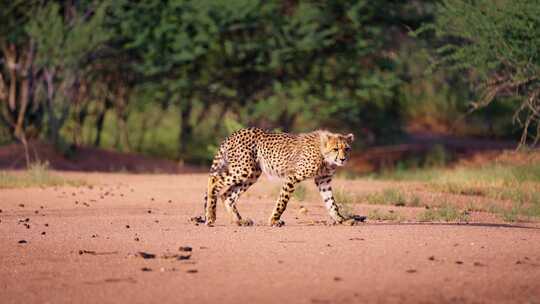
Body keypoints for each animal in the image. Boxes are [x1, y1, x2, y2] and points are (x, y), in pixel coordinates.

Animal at [198, 127, 362, 227]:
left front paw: (341, 219)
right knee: (214, 180)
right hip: (244, 168)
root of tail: (235, 133)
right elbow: (283, 201)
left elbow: (331, 203)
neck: (324, 155)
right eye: (336, 149)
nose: (343, 159)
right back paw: (210, 217)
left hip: (252, 174)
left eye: (347, 149)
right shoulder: (292, 177)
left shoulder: (323, 180)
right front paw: (274, 220)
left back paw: (240, 221)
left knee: (227, 195)